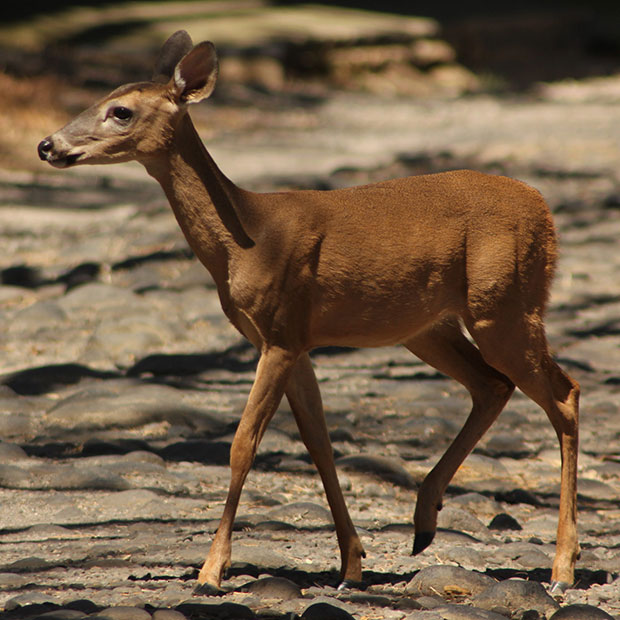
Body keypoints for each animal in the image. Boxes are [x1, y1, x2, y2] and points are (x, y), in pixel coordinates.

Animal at [38, 30, 580, 596]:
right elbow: (319, 444)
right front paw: (352, 564)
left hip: (505, 303)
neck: (247, 241)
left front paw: (211, 570)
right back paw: (424, 521)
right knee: (492, 385)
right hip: (429, 325)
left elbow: (242, 444)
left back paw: (562, 568)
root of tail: (543, 209)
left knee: (563, 394)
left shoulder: (279, 331)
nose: (47, 145)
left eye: (119, 111)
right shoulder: (293, 340)